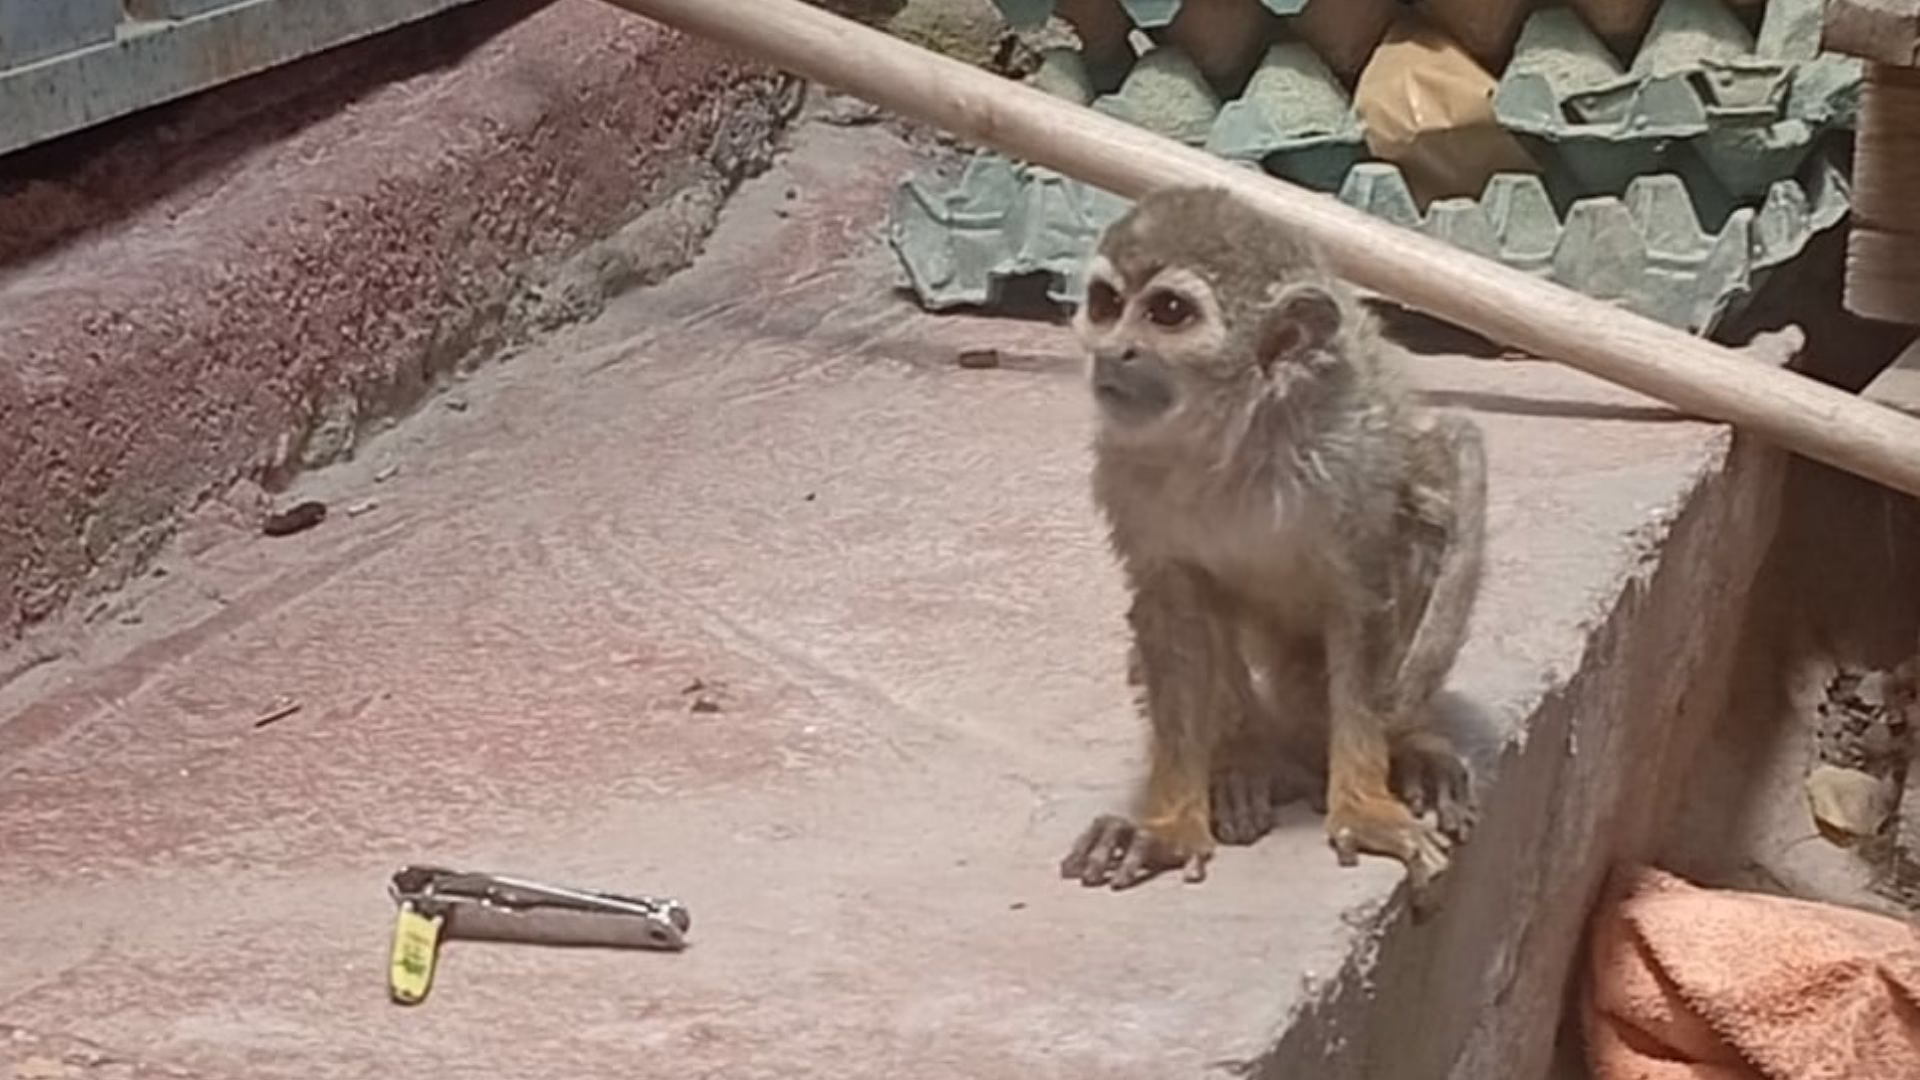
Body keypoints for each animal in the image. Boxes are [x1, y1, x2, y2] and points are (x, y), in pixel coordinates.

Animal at [1055, 186, 1488, 911]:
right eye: (1107, 304)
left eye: (1167, 313)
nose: (1115, 352)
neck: (1234, 434)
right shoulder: (1124, 466)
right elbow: (1170, 607)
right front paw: (1170, 824)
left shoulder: (1351, 449)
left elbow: (1364, 594)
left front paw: (1364, 803)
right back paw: (1245, 762)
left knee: (1438, 481)